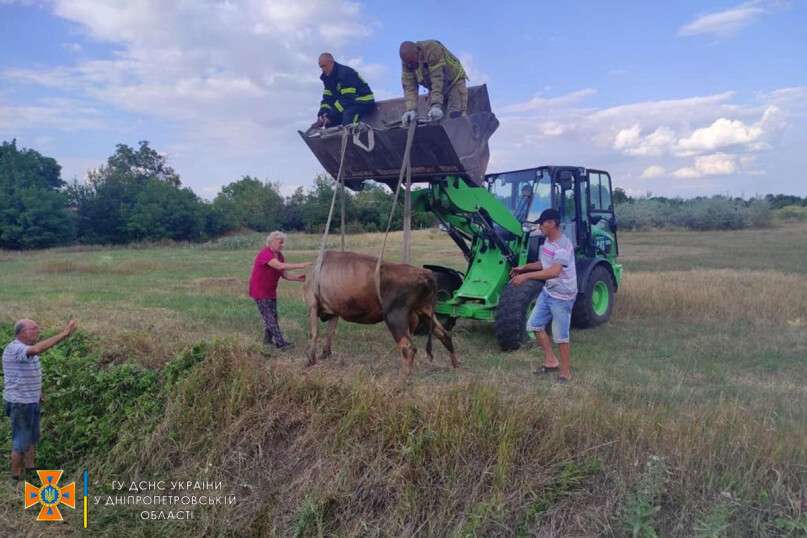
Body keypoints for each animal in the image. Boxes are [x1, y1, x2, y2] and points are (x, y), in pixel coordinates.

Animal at [303, 251, 459, 375]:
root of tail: (426, 274)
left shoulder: (312, 305)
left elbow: (314, 333)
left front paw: (310, 360)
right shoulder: (334, 312)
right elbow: (329, 333)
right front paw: (325, 355)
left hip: (395, 316)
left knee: (408, 348)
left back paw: (402, 379)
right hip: (425, 312)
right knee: (445, 335)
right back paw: (456, 366)